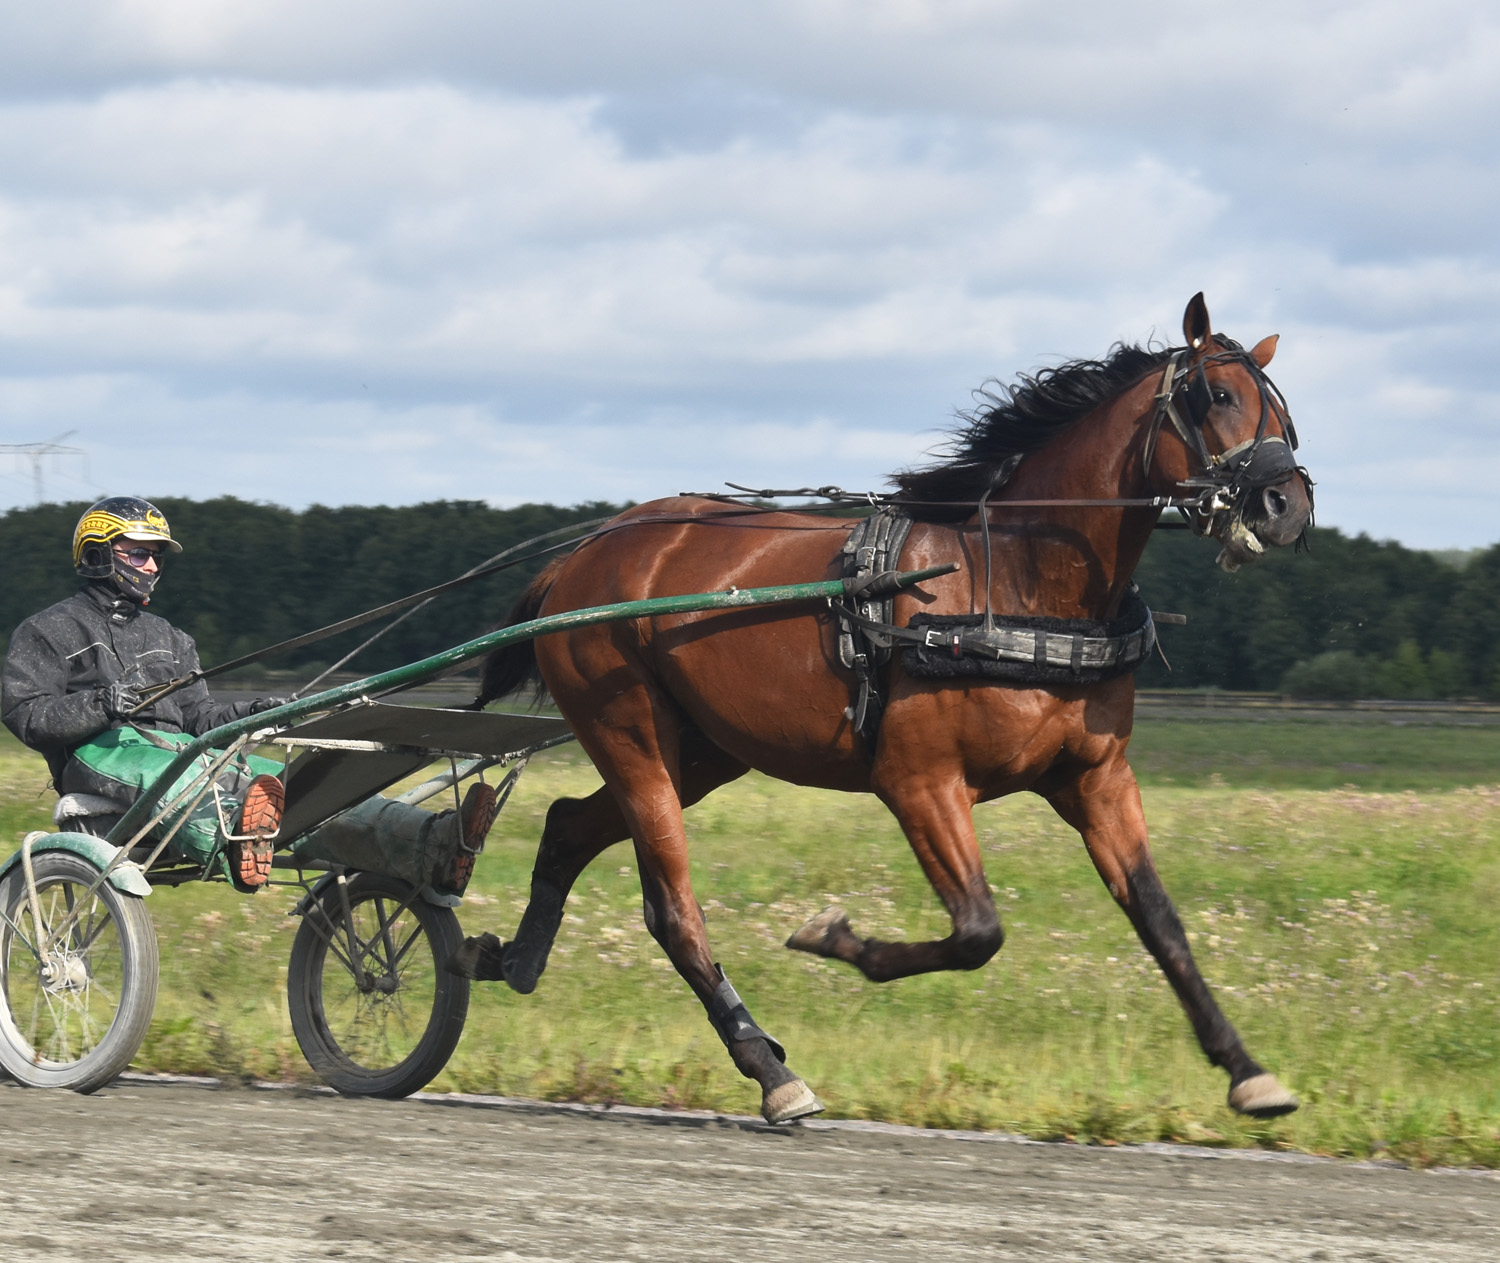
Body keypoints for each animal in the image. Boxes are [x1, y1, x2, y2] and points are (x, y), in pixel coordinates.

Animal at [453, 295, 1314, 1122]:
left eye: (1284, 410)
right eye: (1217, 396)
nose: (1286, 504)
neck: (1013, 583)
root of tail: (588, 552)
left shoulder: (1097, 777)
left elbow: (1161, 921)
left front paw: (1247, 1070)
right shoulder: (920, 780)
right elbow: (978, 930)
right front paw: (835, 937)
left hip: (702, 751)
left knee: (569, 823)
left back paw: (512, 958)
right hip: (629, 732)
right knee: (672, 909)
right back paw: (769, 1071)